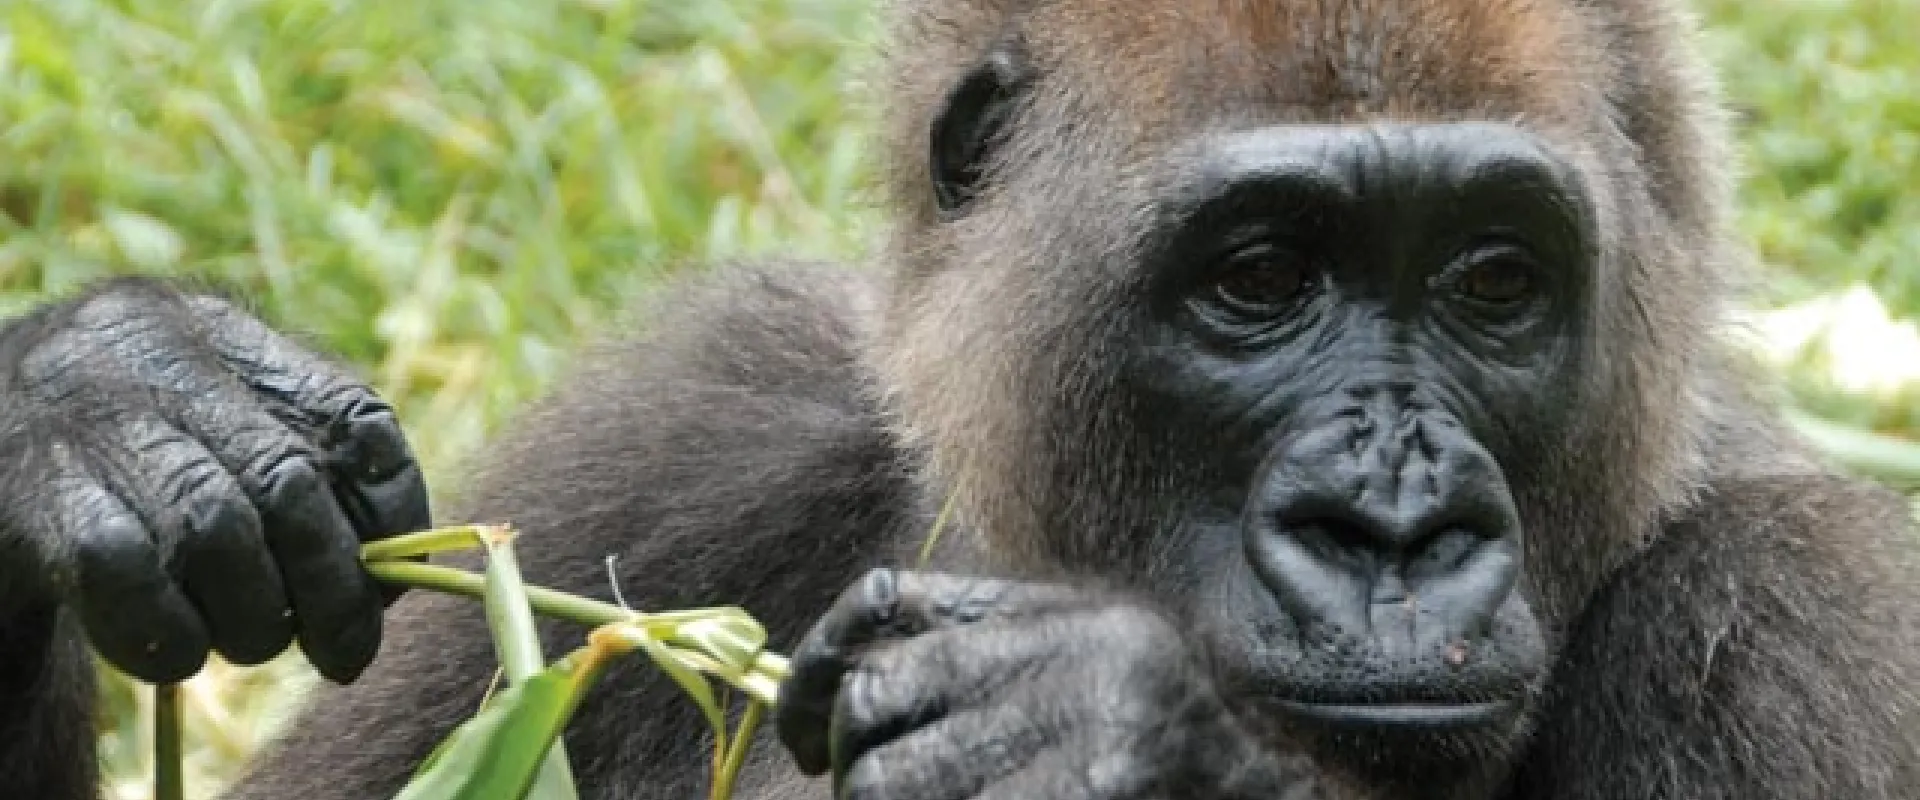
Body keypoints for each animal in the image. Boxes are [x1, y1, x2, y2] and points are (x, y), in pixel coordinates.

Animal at [5, 0, 1920, 798]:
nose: (1392, 530)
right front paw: (99, 403)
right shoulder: (686, 432)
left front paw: (1122, 737)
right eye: (1261, 278)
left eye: (1494, 283)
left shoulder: (1798, 619)